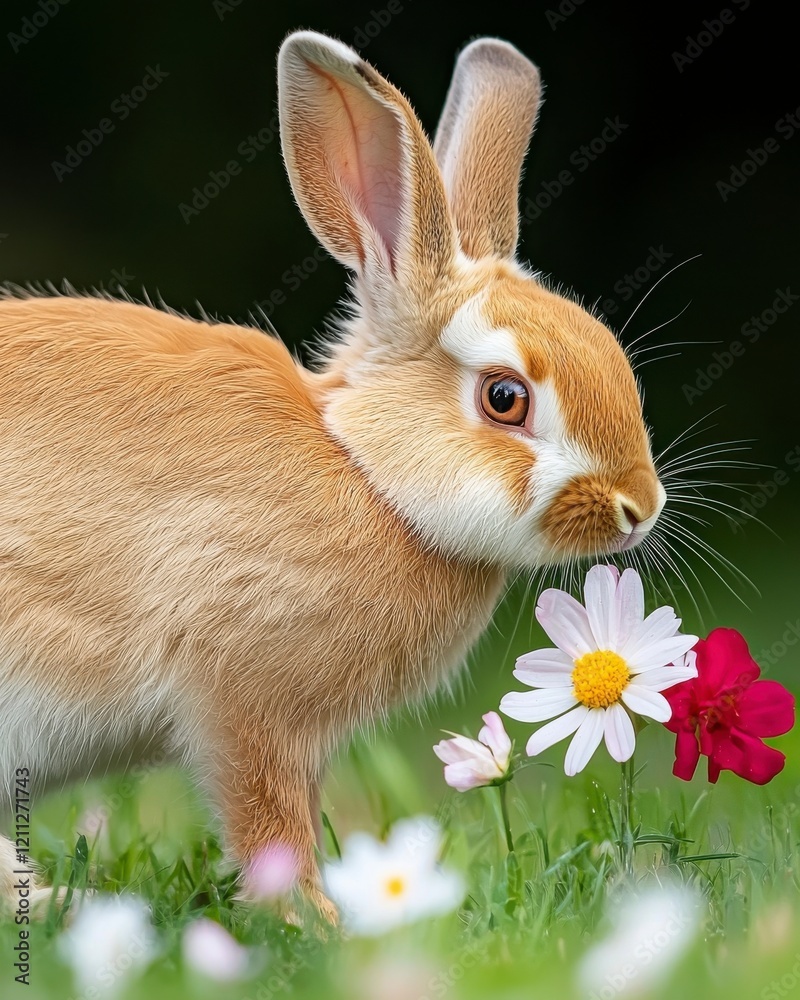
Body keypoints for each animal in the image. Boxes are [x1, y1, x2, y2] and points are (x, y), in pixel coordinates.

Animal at [0, 30, 665, 920]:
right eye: (505, 398)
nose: (639, 507)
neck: (368, 474)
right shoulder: (245, 700)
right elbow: (270, 823)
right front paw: (315, 922)